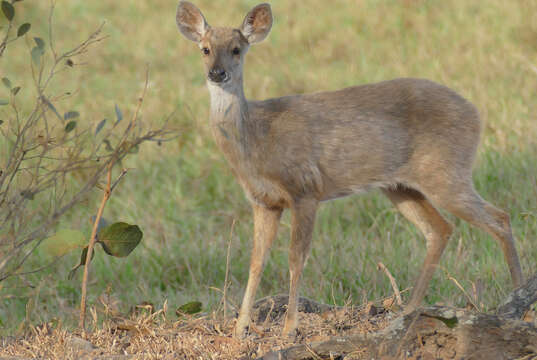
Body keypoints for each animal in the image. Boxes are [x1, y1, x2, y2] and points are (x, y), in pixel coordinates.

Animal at [174, 0, 520, 338]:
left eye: (236, 49)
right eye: (205, 48)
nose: (217, 73)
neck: (257, 139)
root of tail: (476, 114)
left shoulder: (305, 189)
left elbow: (295, 258)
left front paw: (289, 328)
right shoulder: (264, 201)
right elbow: (256, 261)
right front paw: (240, 329)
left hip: (447, 170)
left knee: (499, 218)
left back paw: (517, 301)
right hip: (401, 186)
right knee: (440, 229)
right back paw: (409, 311)